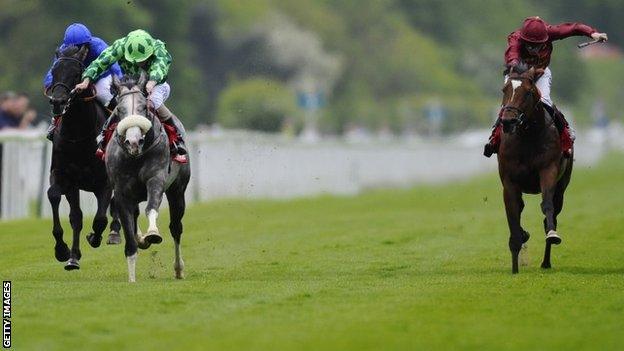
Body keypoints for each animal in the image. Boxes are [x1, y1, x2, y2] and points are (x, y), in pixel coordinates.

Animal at [46, 45, 120, 270]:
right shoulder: (66, 177)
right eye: (54, 71)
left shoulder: (104, 182)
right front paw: (66, 252)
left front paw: (94, 237)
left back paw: (114, 233)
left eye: (76, 74)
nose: (58, 101)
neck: (78, 136)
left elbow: (100, 219)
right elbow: (66, 208)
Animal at [106, 72, 189, 284]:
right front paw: (132, 277)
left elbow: (151, 208)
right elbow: (129, 233)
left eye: (144, 107)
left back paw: (178, 268)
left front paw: (152, 234)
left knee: (176, 227)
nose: (133, 142)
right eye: (119, 109)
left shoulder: (156, 179)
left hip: (178, 191)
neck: (136, 156)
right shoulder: (121, 192)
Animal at [498, 65, 576, 276]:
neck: (527, 136)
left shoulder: (548, 169)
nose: (508, 121)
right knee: (520, 208)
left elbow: (546, 205)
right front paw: (515, 265)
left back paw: (546, 261)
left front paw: (552, 234)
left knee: (553, 211)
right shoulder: (509, 182)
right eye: (505, 90)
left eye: (527, 92)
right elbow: (513, 214)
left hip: (562, 187)